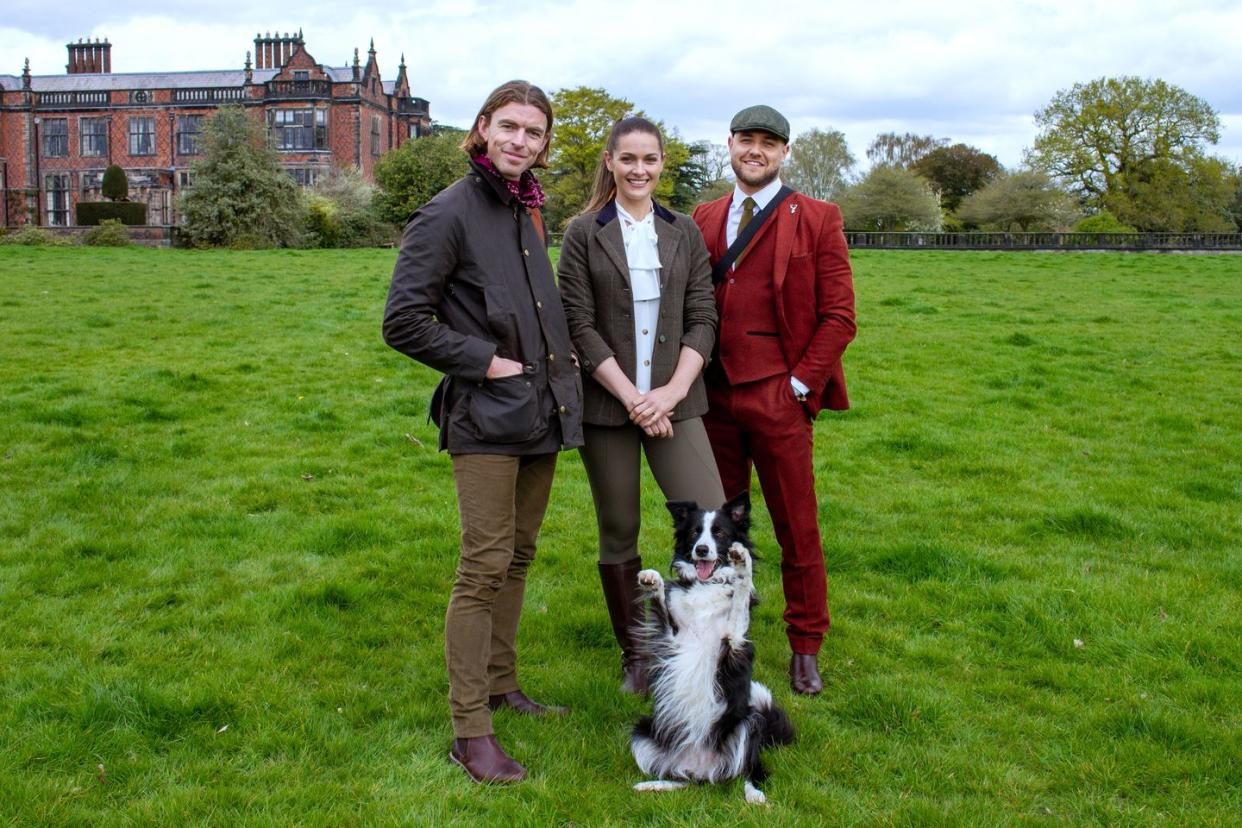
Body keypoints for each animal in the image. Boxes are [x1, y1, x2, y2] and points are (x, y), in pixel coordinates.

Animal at [630, 491, 794, 804]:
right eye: (695, 532)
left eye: (719, 532)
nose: (702, 550)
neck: (705, 585)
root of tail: (701, 766)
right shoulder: (671, 638)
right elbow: (661, 604)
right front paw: (652, 580)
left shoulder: (733, 641)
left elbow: (741, 592)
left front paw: (743, 562)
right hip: (644, 730)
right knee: (682, 779)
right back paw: (652, 785)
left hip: (748, 722)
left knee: (749, 769)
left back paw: (755, 796)